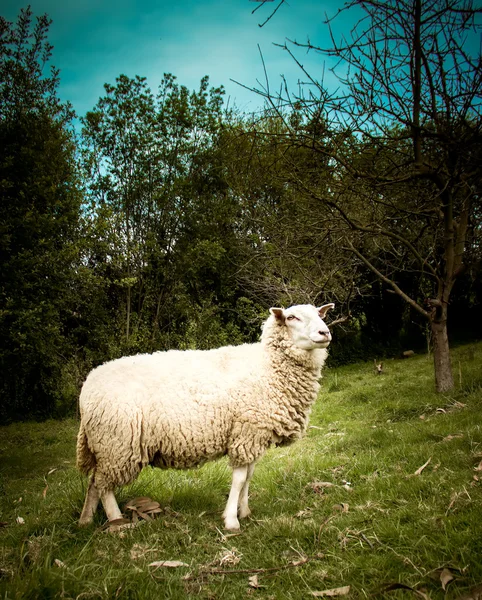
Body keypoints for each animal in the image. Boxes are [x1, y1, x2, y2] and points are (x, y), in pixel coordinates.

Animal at [78, 302, 336, 532]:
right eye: (292, 318)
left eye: (319, 314)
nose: (325, 332)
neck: (268, 366)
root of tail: (88, 384)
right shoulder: (245, 433)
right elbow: (240, 479)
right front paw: (231, 520)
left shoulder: (253, 435)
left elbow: (249, 477)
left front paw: (245, 511)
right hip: (117, 444)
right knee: (104, 486)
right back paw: (117, 522)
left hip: (105, 446)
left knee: (93, 482)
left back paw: (86, 520)